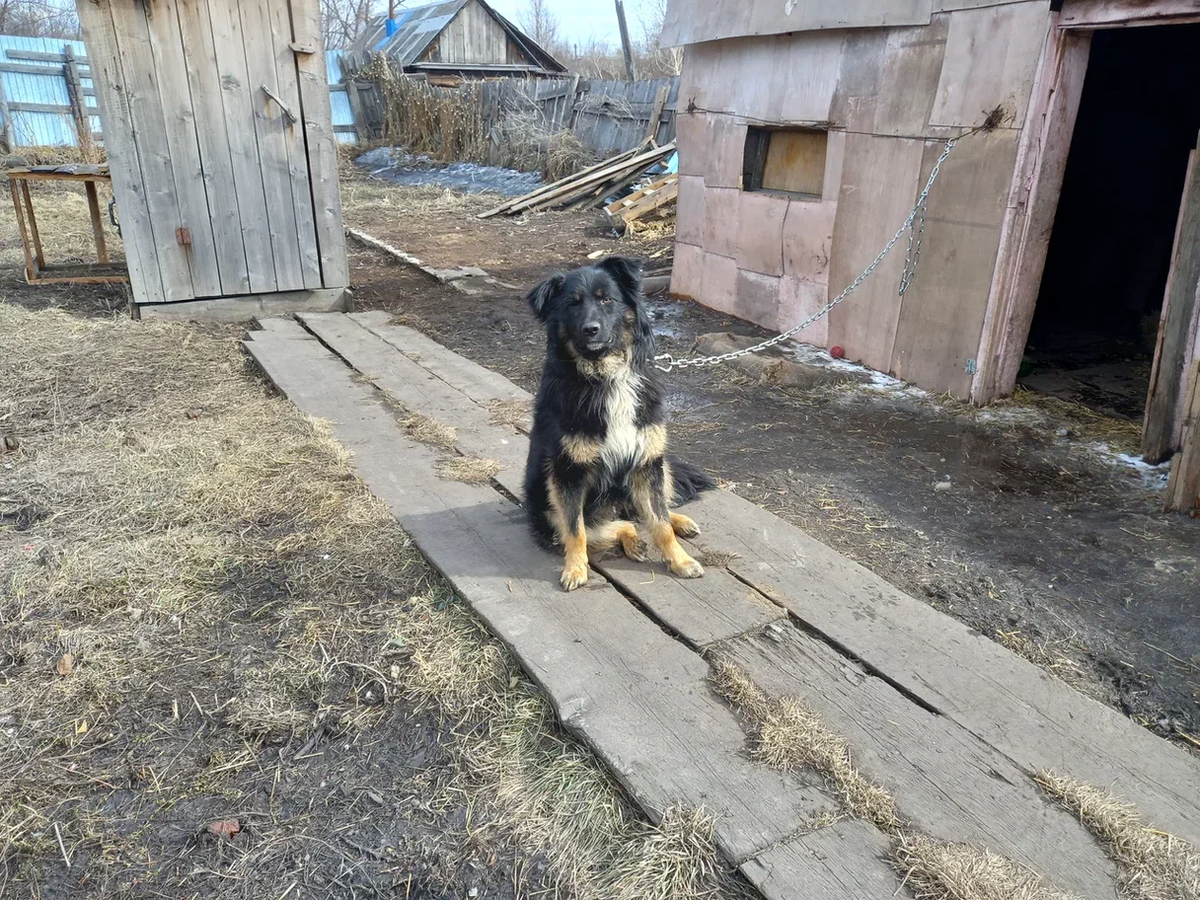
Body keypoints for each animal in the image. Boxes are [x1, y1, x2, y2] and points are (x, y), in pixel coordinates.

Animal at [523, 256, 710, 592]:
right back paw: (632, 541)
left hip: (660, 467)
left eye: (606, 299)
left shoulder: (647, 463)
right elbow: (577, 532)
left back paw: (680, 523)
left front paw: (680, 561)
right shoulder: (566, 474)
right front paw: (575, 570)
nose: (591, 330)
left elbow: (660, 523)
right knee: (618, 524)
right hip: (547, 514)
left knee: (651, 511)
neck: (606, 376)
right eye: (572, 304)